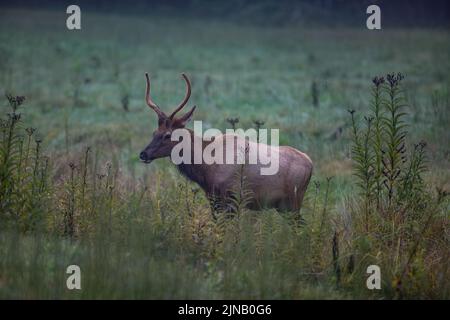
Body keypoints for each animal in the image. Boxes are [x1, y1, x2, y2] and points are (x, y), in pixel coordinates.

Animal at [138, 73, 312, 211]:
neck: (205, 168)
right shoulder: (213, 198)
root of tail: (311, 164)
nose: (143, 154)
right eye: (154, 132)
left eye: (167, 135)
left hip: (293, 202)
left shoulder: (231, 198)